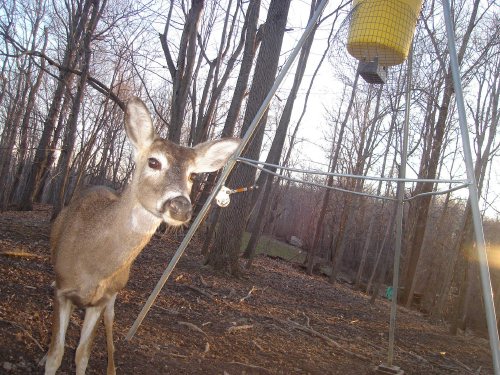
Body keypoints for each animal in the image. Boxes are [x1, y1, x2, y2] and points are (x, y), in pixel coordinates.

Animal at [44, 97, 240, 375]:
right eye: (154, 162)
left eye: (192, 175)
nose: (180, 206)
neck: (91, 262)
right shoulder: (62, 289)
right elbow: (56, 354)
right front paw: (46, 358)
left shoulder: (101, 299)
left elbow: (82, 355)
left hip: (114, 293)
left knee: (110, 320)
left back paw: (112, 367)